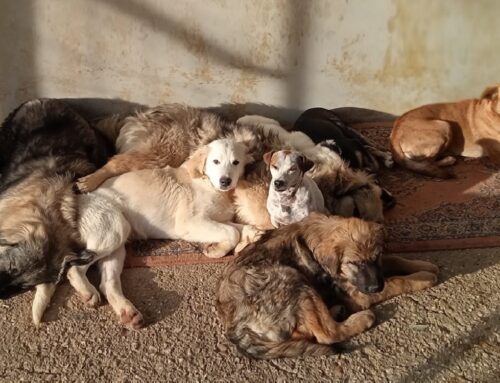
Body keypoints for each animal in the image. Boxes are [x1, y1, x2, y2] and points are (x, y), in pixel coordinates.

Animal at [75, 105, 386, 225]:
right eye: (362, 199)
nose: (391, 201)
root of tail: (141, 115)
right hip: (162, 152)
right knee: (115, 162)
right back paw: (88, 180)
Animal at [215, 213, 438, 360]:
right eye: (354, 263)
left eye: (376, 257)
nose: (375, 287)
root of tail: (234, 327)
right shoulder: (358, 295)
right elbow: (397, 281)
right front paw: (424, 277)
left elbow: (396, 259)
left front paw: (424, 265)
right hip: (291, 278)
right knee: (326, 334)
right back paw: (361, 318)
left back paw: (336, 310)